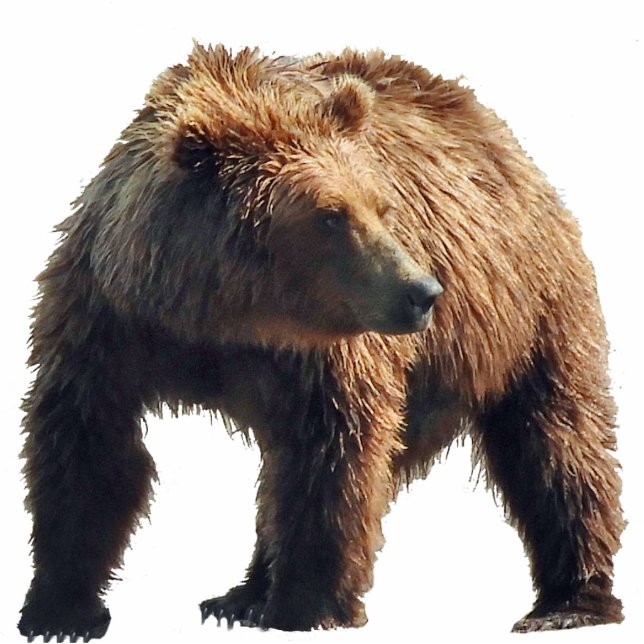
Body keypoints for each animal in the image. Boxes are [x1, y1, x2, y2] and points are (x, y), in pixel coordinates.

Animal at [18, 43, 624, 640]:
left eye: (382, 206)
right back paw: (241, 595)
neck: (223, 315)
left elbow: (331, 454)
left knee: (555, 441)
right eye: (331, 216)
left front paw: (308, 607)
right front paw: (60, 610)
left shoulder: (327, 351)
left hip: (530, 309)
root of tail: (500, 135)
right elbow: (89, 443)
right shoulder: (109, 321)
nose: (423, 292)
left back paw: (569, 602)